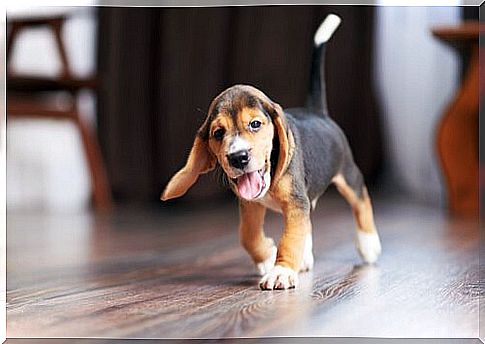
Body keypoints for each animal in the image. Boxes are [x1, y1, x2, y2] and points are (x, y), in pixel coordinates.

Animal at [163, 15, 382, 290]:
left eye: (255, 124)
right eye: (218, 133)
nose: (238, 157)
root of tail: (317, 111)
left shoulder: (296, 203)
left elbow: (289, 238)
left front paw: (281, 271)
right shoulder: (251, 204)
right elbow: (248, 235)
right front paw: (267, 255)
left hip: (348, 174)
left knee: (361, 201)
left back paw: (368, 243)